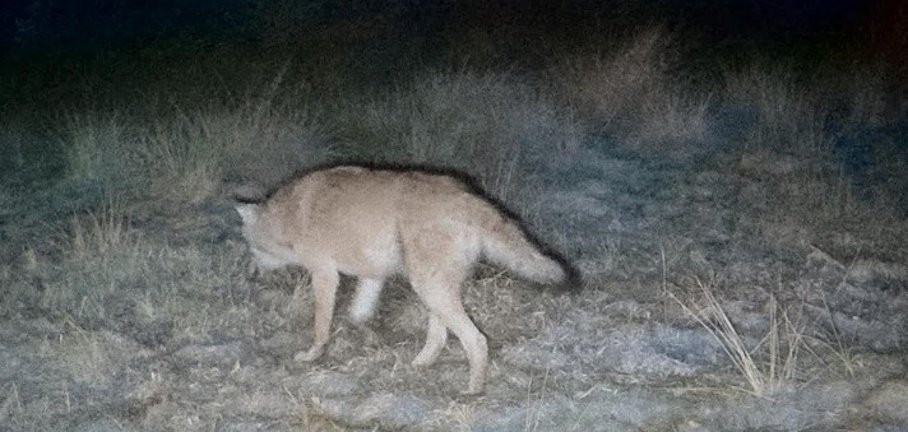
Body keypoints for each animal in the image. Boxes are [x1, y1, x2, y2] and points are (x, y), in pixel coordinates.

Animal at [235, 165, 579, 394]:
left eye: (250, 248)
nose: (248, 276)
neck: (288, 215)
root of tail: (469, 198)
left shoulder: (324, 274)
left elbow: (321, 327)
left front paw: (312, 356)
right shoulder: (372, 275)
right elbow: (358, 315)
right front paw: (369, 339)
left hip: (430, 289)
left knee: (476, 340)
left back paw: (472, 391)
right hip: (432, 290)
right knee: (440, 337)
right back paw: (420, 364)